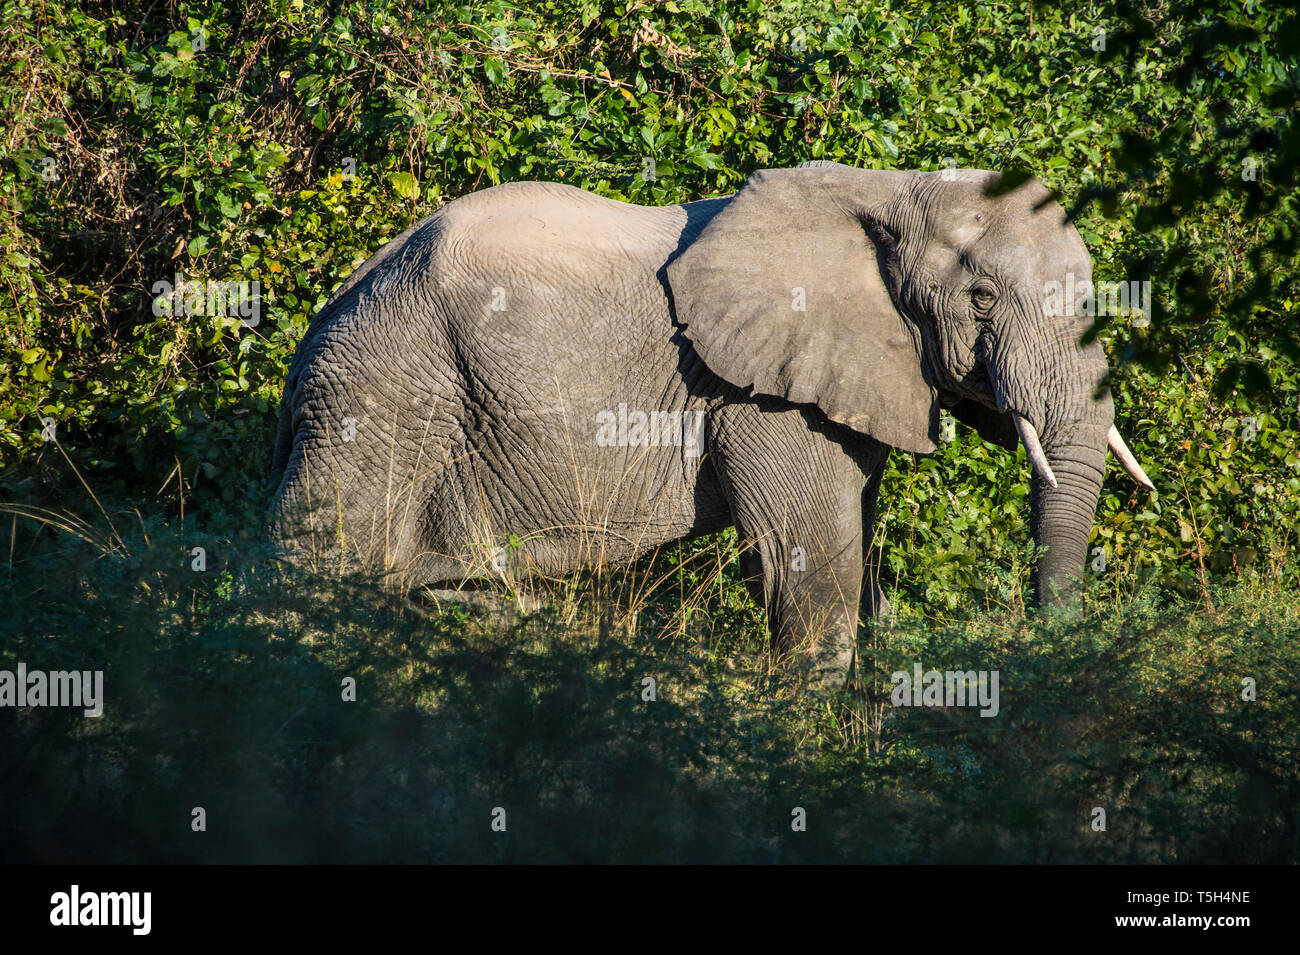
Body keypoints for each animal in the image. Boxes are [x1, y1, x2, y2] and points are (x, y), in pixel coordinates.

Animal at [261, 164, 1149, 686]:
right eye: (983, 300)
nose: (1056, 645)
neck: (889, 190)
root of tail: (312, 333)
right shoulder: (760, 395)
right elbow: (806, 565)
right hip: (379, 401)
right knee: (314, 576)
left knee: (463, 599)